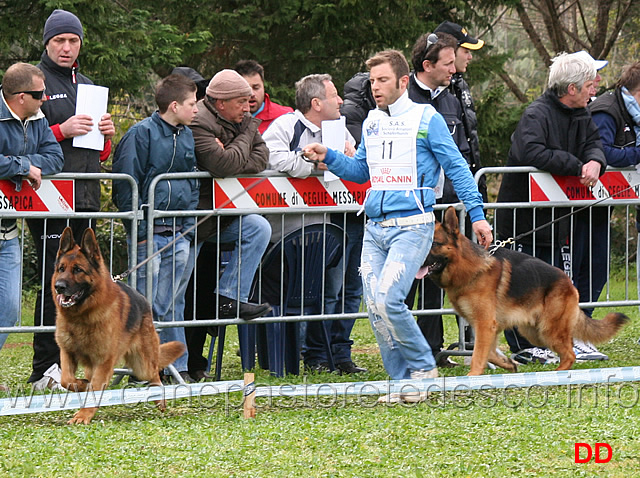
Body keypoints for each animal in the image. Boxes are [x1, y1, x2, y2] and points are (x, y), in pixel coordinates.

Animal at [52, 228, 185, 426]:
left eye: (78, 270)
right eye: (61, 269)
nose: (58, 286)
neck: (82, 316)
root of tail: (144, 300)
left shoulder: (104, 361)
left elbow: (94, 388)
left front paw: (84, 414)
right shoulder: (67, 352)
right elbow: (66, 380)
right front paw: (82, 385)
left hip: (142, 365)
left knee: (154, 373)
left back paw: (159, 398)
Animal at [422, 207, 628, 376]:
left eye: (434, 243)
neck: (470, 268)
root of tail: (568, 283)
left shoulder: (485, 324)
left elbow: (478, 354)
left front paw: (473, 376)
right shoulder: (486, 327)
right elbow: (488, 352)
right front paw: (508, 364)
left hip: (548, 330)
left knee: (570, 354)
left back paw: (557, 373)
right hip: (533, 331)